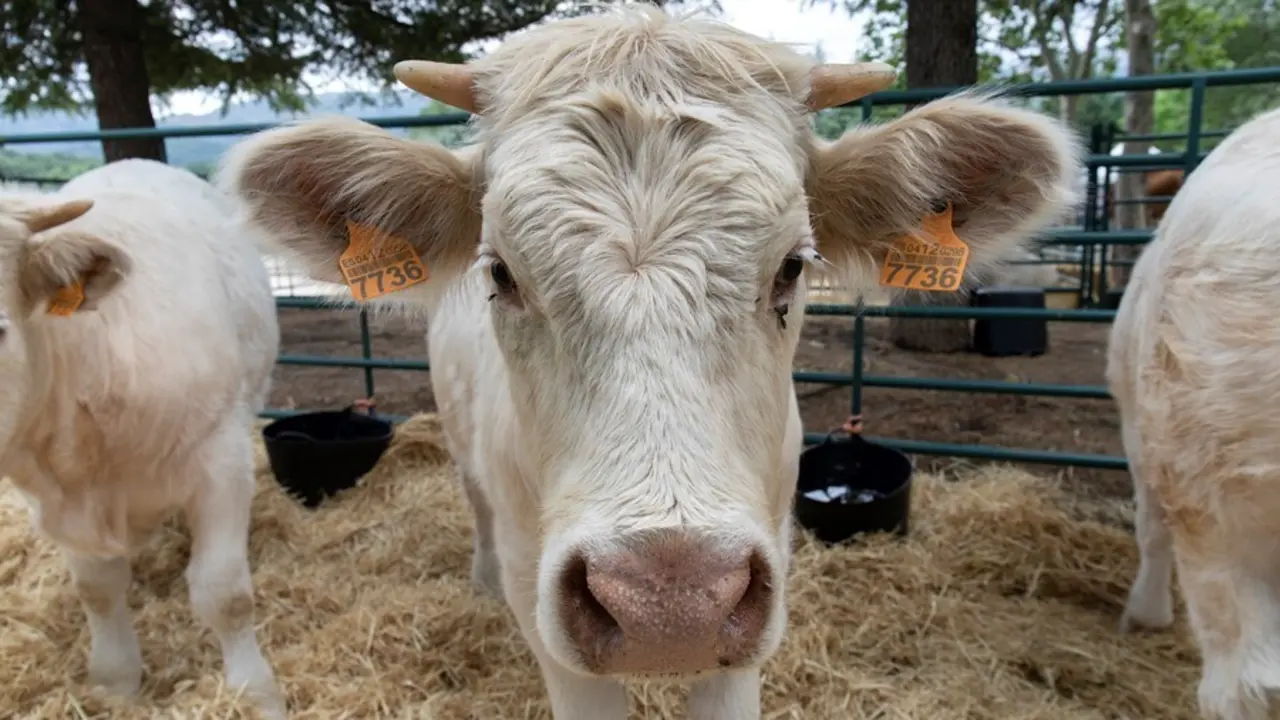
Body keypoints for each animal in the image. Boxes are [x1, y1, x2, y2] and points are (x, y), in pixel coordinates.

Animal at [0, 160, 285, 718]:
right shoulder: (54, 501)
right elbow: (98, 589)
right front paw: (114, 681)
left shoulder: (221, 460)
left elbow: (224, 592)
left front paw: (256, 693)